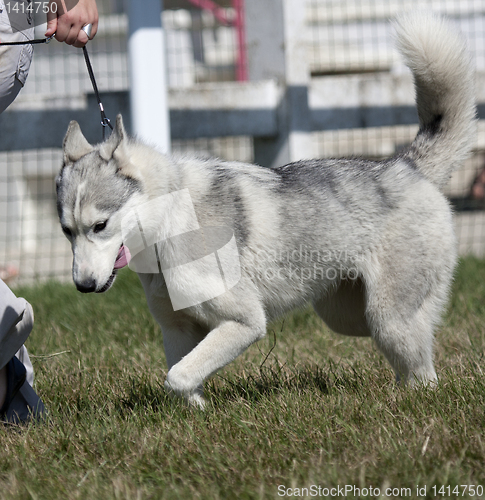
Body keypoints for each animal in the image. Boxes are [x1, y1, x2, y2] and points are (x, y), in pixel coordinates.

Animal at [55, 13, 472, 408]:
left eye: (100, 225)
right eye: (66, 231)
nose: (83, 286)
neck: (169, 226)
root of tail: (407, 166)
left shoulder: (245, 322)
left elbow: (178, 376)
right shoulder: (177, 329)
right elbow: (181, 379)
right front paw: (197, 411)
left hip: (389, 320)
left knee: (423, 374)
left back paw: (412, 399)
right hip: (347, 316)